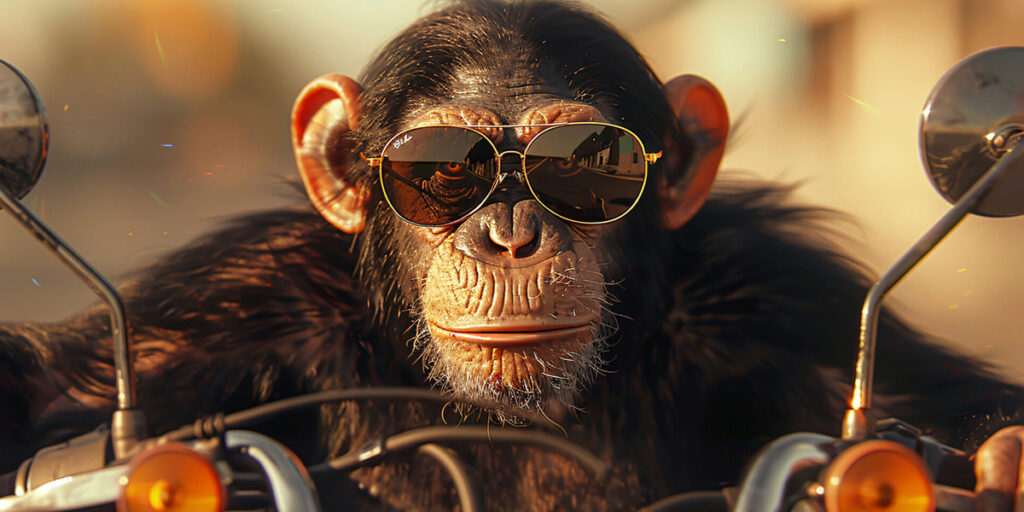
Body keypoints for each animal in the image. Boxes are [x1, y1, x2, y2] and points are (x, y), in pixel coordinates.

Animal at [3, 1, 1024, 510]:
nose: (510, 232)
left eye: (588, 162)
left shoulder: (777, 303)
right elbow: (49, 385)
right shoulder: (236, 303)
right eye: (439, 165)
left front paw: (998, 463)